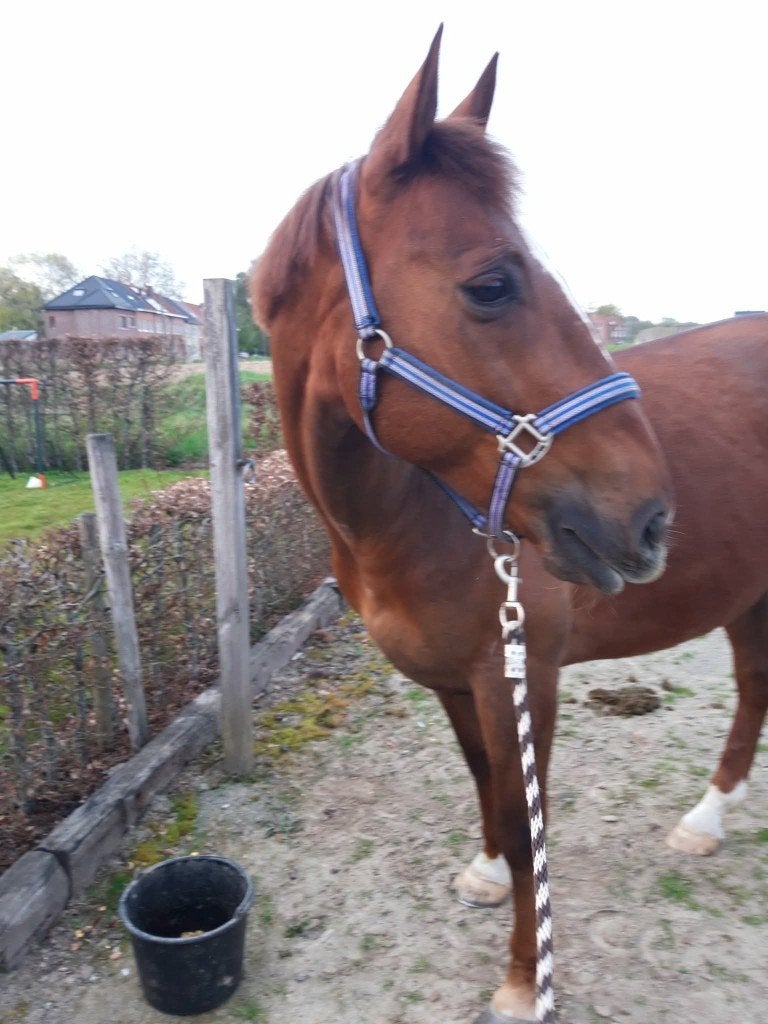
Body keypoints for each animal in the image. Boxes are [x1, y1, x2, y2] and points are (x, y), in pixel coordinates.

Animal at [253, 28, 765, 1023]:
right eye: (491, 285)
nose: (651, 520)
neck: (407, 522)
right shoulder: (459, 685)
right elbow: (487, 790)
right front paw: (487, 875)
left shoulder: (526, 678)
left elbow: (532, 826)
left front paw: (526, 981)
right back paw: (706, 816)